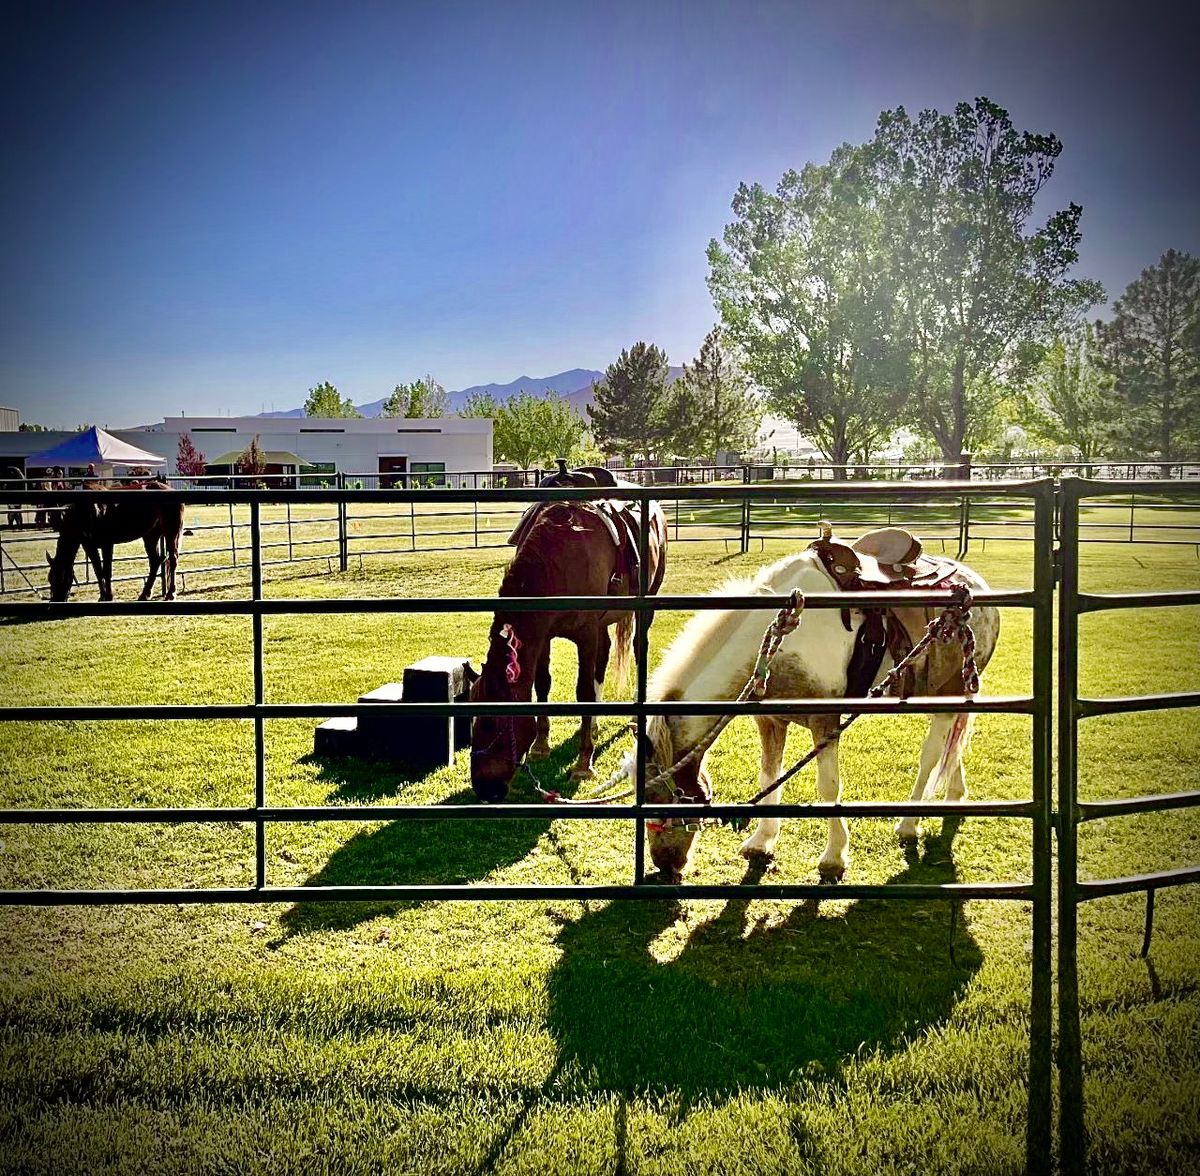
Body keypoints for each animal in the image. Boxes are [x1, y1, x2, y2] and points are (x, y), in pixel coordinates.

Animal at [47, 480, 184, 602]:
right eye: (50, 579)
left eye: (61, 578)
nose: (55, 601)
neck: (87, 511)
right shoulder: (89, 546)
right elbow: (98, 570)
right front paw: (102, 596)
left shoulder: (107, 544)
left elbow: (106, 571)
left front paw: (109, 596)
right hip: (151, 535)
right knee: (155, 561)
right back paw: (145, 594)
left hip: (171, 532)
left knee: (172, 559)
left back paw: (171, 593)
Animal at [470, 463, 676, 801]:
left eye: (494, 724)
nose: (484, 789)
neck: (559, 559)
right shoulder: (545, 636)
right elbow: (543, 683)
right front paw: (541, 746)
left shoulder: (586, 634)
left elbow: (583, 691)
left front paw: (583, 764)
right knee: (604, 658)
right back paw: (592, 725)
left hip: (644, 608)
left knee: (637, 648)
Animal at [643, 528, 998, 878]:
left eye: (660, 797)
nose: (665, 865)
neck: (782, 643)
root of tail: (976, 585)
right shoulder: (770, 720)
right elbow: (768, 775)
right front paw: (761, 841)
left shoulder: (824, 720)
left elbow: (828, 786)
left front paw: (834, 856)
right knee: (953, 746)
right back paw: (955, 795)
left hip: (947, 695)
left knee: (931, 756)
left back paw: (909, 824)